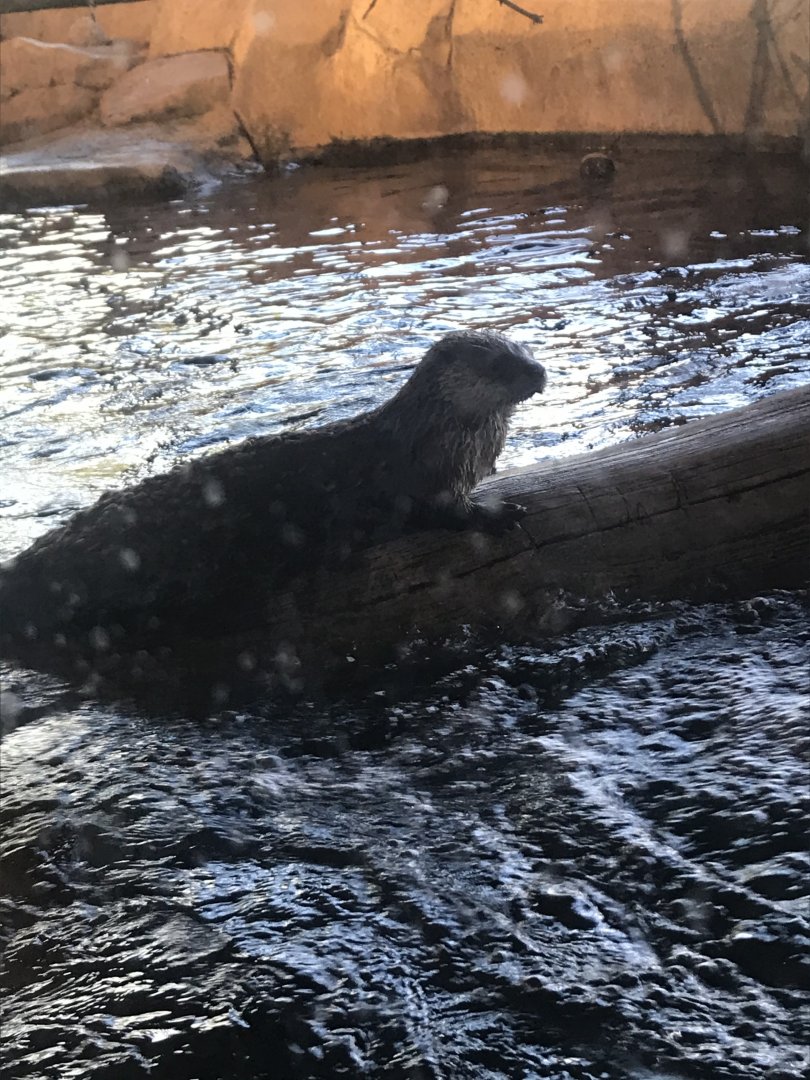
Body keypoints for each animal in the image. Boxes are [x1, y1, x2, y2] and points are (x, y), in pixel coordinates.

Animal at [0, 329, 546, 652]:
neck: (439, 438)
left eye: (528, 351)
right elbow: (444, 513)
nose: (539, 372)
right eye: (499, 364)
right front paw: (498, 513)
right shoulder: (421, 482)